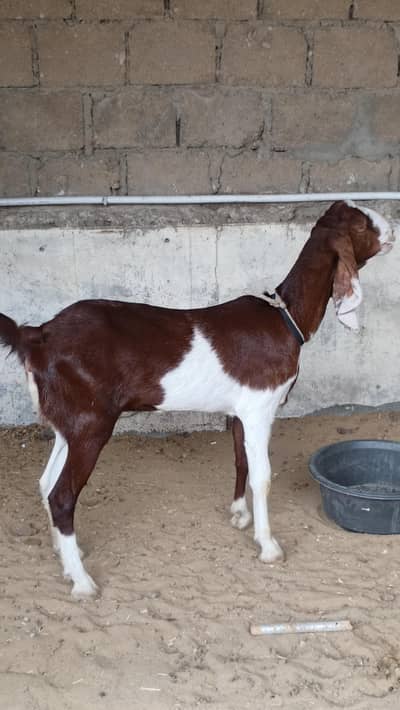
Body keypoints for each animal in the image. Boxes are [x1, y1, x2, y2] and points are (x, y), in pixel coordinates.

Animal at [0, 201, 394, 597]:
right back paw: (82, 581)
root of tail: (38, 335)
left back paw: (67, 558)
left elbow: (240, 462)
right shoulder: (260, 408)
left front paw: (240, 515)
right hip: (91, 422)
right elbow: (263, 476)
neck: (286, 317)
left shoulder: (240, 410)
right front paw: (268, 546)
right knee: (61, 495)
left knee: (45, 483)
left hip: (69, 419)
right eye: (362, 225)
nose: (392, 229)